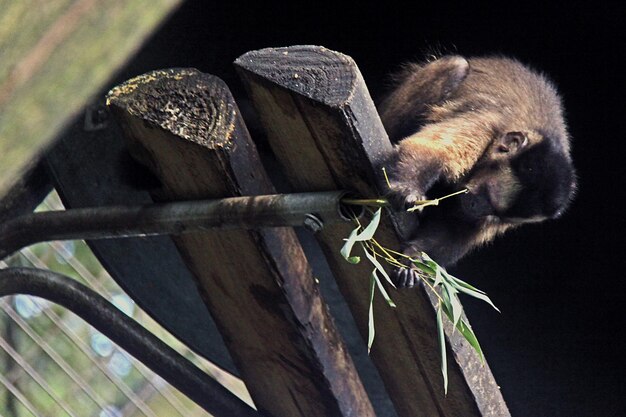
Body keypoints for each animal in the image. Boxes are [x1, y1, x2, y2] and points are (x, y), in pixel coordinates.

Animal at [376, 55, 576, 286]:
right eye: (487, 194)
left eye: (497, 216)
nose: (475, 209)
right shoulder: (486, 125)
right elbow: (430, 150)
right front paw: (408, 188)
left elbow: (456, 228)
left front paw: (416, 258)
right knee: (456, 65)